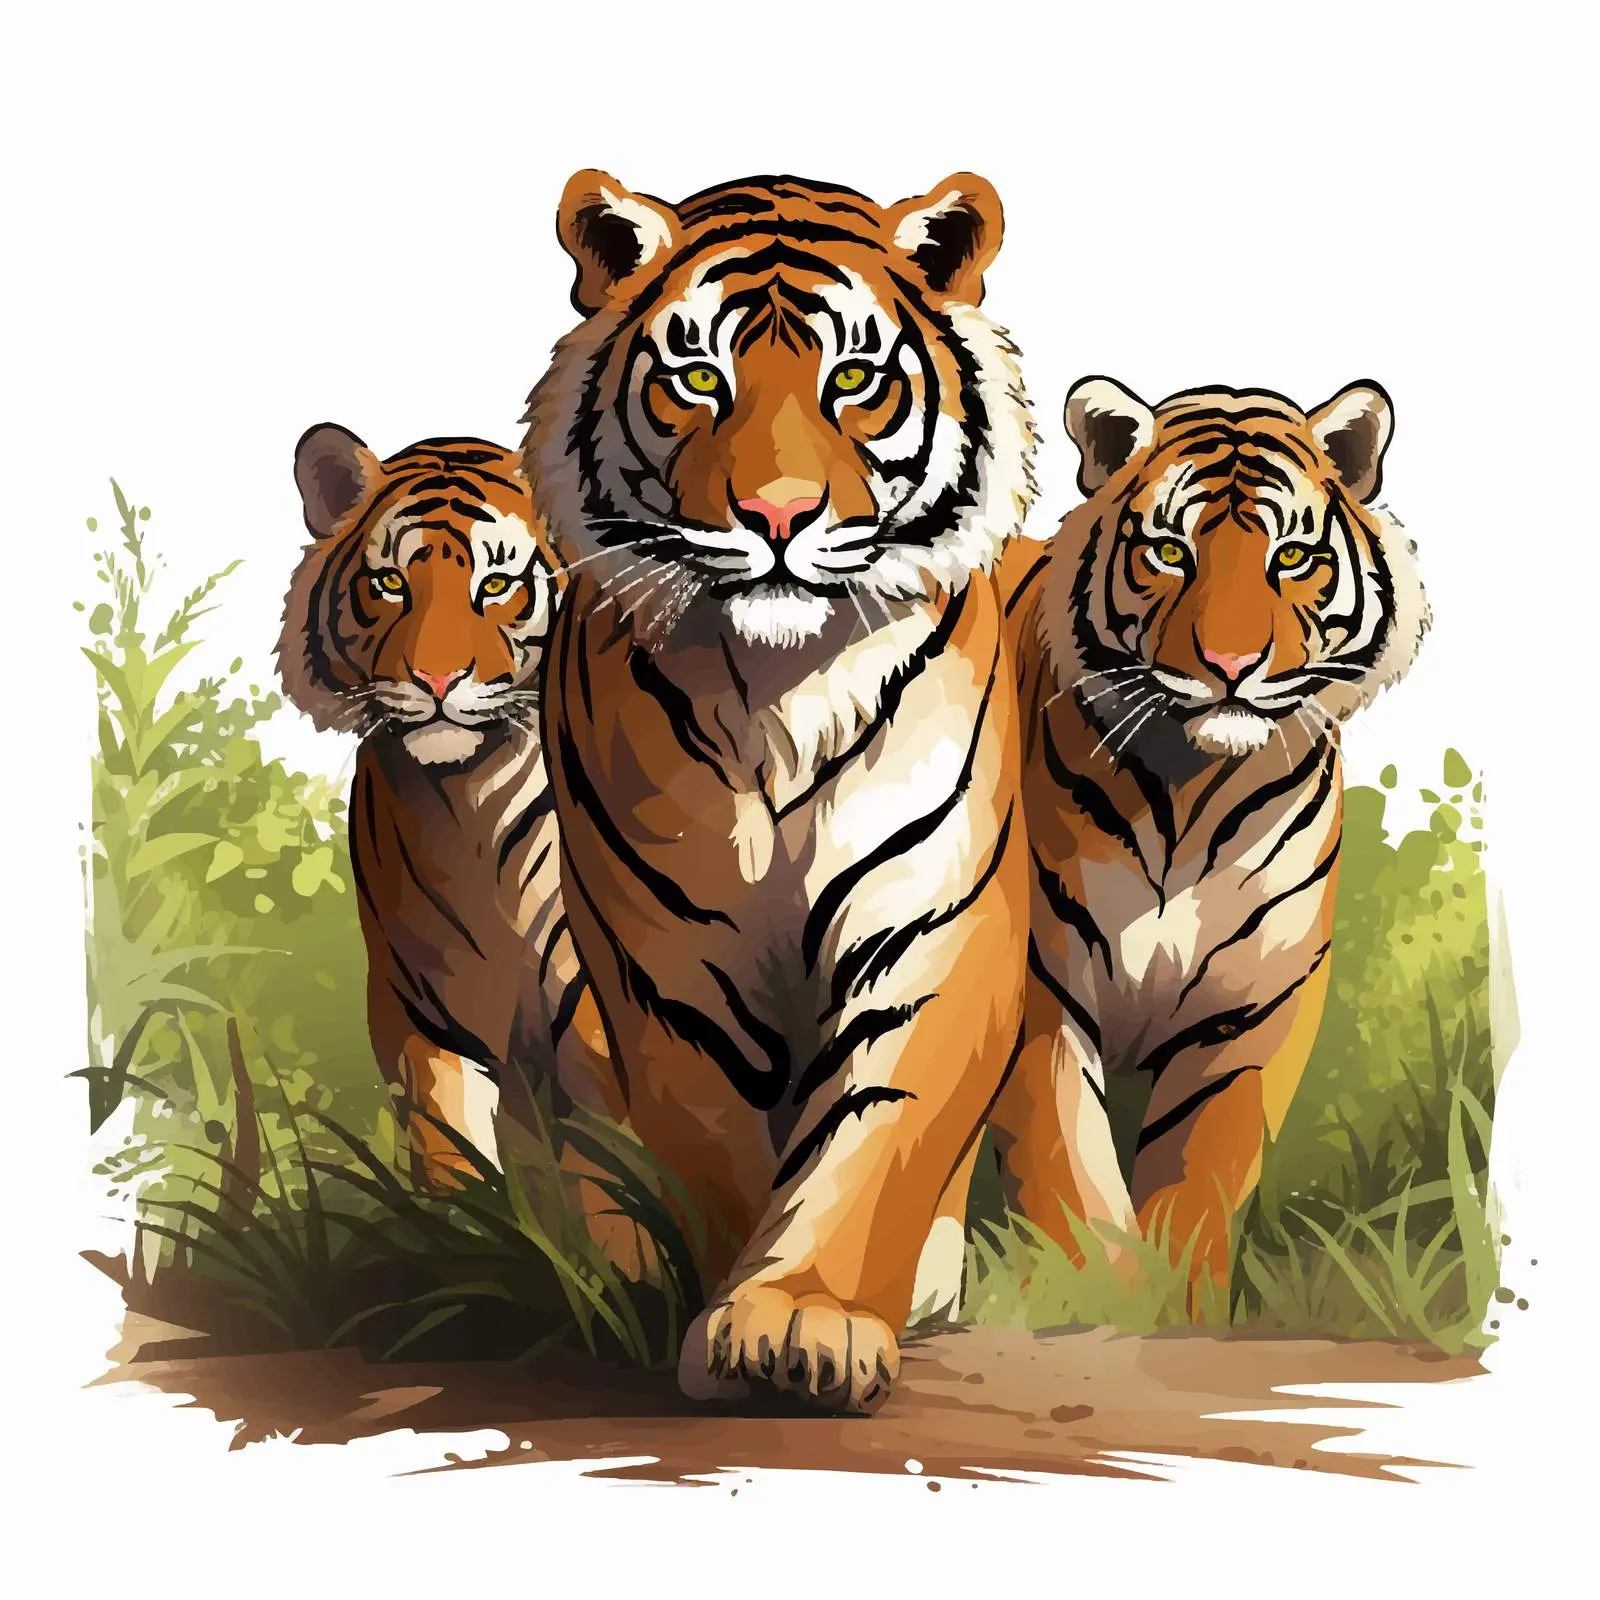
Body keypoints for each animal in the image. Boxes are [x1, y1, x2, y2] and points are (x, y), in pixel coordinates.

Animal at [276, 428, 625, 1226]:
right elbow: (450, 1157)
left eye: (495, 586)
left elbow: (617, 1183)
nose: (435, 682)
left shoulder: (594, 1020)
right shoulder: (422, 1012)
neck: (471, 804)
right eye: (390, 583)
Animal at [521, 169, 1036, 1412]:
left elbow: (874, 1138)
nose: (778, 516)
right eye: (697, 378)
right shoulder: (662, 969)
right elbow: (716, 1146)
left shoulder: (936, 925)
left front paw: (803, 1318)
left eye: (852, 380)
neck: (777, 693)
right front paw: (729, 1316)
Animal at [989, 377, 1428, 1311]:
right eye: (1168, 551)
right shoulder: (1043, 999)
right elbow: (1069, 1173)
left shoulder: (1250, 1015)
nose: (1230, 665)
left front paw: (1170, 1307)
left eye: (1291, 558)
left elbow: (1201, 1176)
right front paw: (1099, 1305)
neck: (1189, 799)